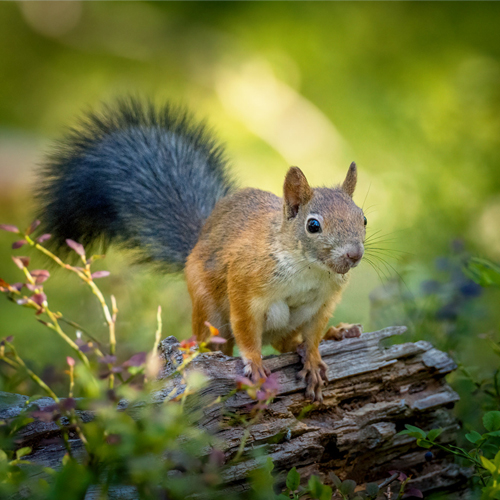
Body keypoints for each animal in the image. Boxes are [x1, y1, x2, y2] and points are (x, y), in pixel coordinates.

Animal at [37, 97, 366, 402]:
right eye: (313, 225)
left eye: (362, 218)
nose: (355, 255)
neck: (308, 269)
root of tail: (199, 241)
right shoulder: (244, 285)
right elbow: (246, 330)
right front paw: (255, 364)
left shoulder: (323, 304)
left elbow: (312, 337)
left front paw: (313, 358)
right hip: (209, 309)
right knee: (219, 341)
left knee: (288, 341)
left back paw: (337, 332)